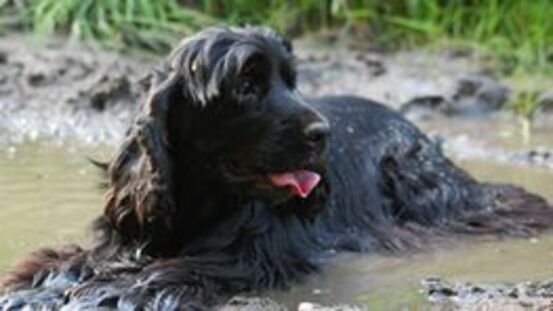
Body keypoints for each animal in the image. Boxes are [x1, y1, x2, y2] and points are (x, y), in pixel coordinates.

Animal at [1, 26, 552, 310]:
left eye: (291, 80)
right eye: (246, 85)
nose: (323, 134)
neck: (202, 200)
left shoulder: (251, 255)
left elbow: (171, 271)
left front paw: (104, 292)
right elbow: (73, 259)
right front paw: (41, 286)